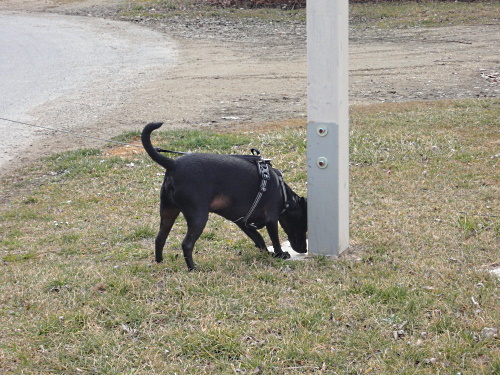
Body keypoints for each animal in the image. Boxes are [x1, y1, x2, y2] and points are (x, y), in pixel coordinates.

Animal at [142, 122, 308, 272]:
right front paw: (280, 254)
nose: (305, 249)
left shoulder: (243, 222)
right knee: (186, 244)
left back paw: (160, 262)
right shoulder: (271, 220)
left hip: (168, 212)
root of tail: (173, 164)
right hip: (198, 217)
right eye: (304, 226)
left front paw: (267, 254)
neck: (284, 195)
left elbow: (259, 239)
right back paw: (193, 268)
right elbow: (275, 240)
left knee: (160, 239)